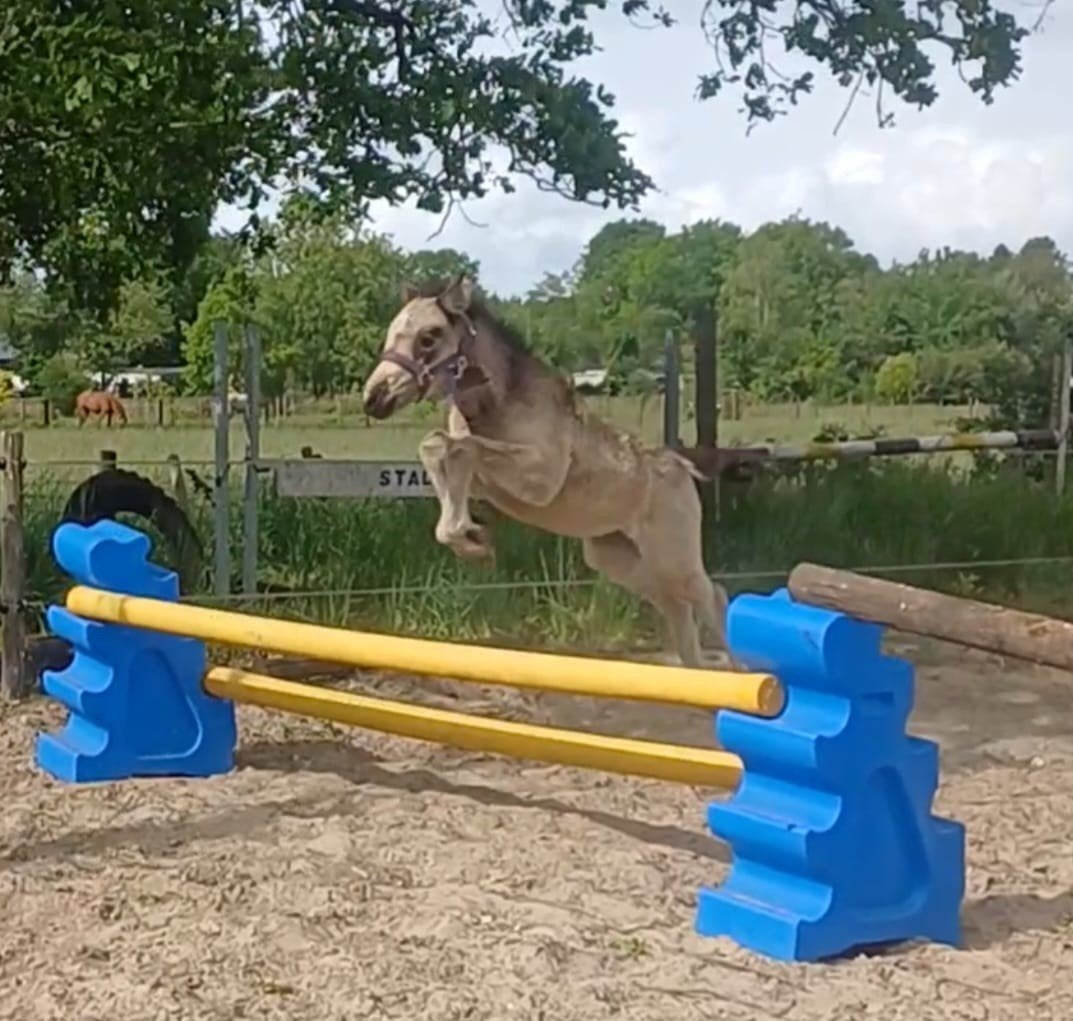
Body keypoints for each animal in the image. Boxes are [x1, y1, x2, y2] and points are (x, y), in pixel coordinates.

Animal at [360, 274, 731, 668]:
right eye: (391, 333)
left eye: (429, 336)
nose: (374, 398)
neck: (498, 405)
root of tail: (684, 469)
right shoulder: (486, 483)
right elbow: (439, 449)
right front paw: (471, 539)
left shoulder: (540, 480)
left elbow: (458, 447)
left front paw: (472, 538)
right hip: (618, 559)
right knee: (676, 605)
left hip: (676, 557)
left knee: (712, 596)